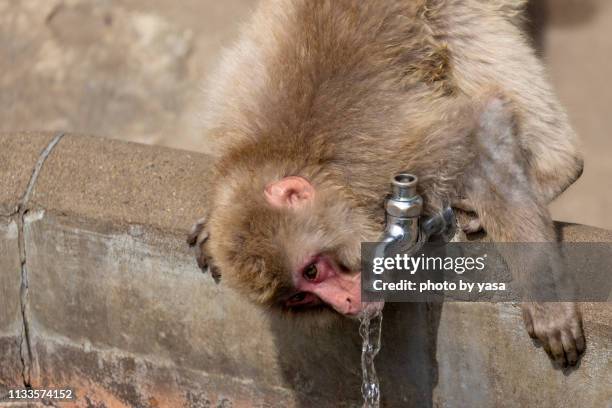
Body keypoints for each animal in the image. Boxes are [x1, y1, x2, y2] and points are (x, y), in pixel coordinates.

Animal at [186, 0, 584, 368]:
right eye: (300, 297)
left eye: (312, 271)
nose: (345, 303)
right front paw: (208, 226)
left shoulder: (391, 161)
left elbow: (483, 128)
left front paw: (546, 298)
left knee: (462, 29)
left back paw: (558, 169)